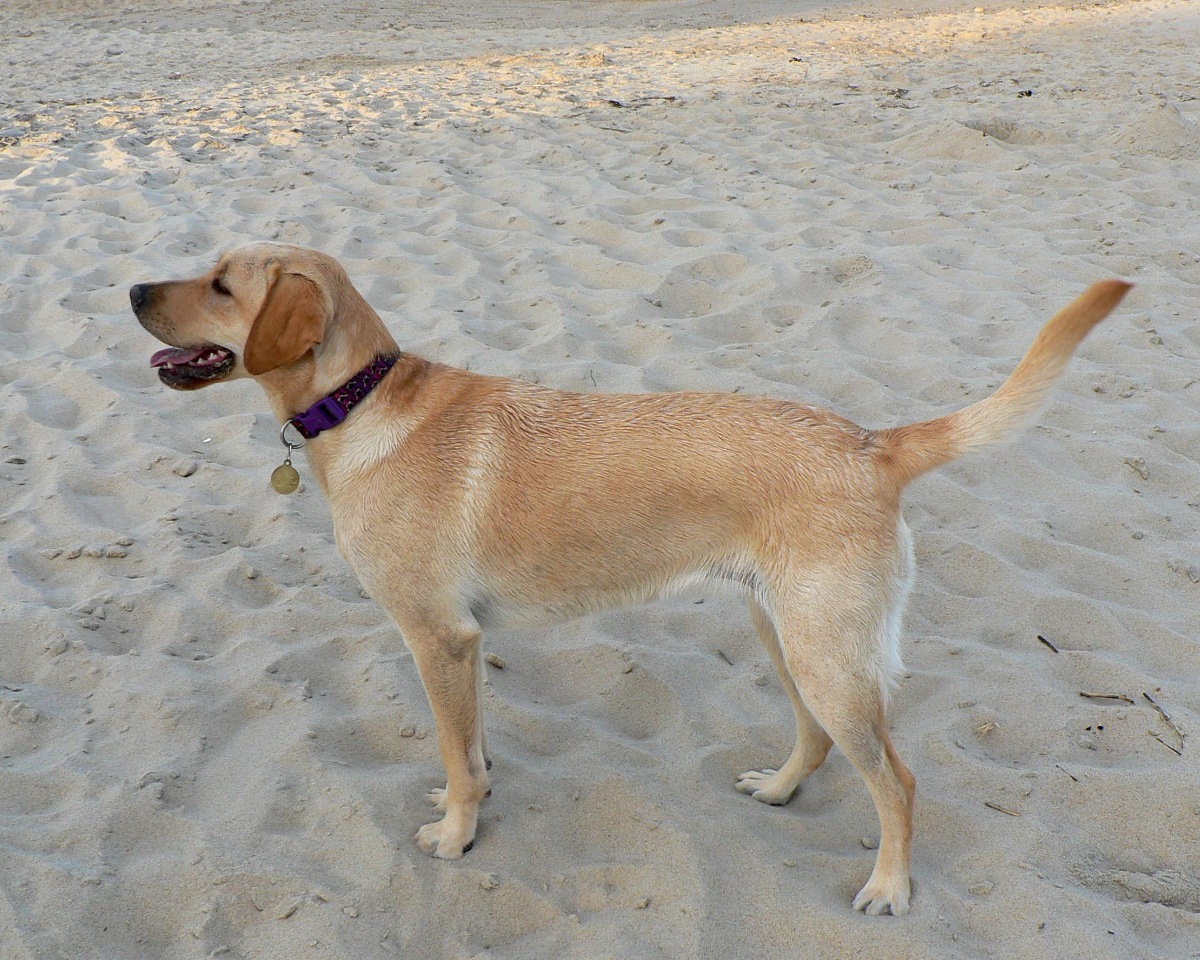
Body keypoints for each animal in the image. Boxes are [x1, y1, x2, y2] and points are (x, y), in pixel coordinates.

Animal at [133, 242, 1132, 916]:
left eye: (222, 286)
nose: (135, 288)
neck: (364, 400)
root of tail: (873, 443)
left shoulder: (436, 639)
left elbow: (456, 755)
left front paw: (456, 837)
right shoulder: (465, 647)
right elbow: (472, 751)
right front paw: (469, 799)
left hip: (826, 653)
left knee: (897, 780)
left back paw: (889, 886)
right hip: (790, 638)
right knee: (816, 741)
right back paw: (779, 790)